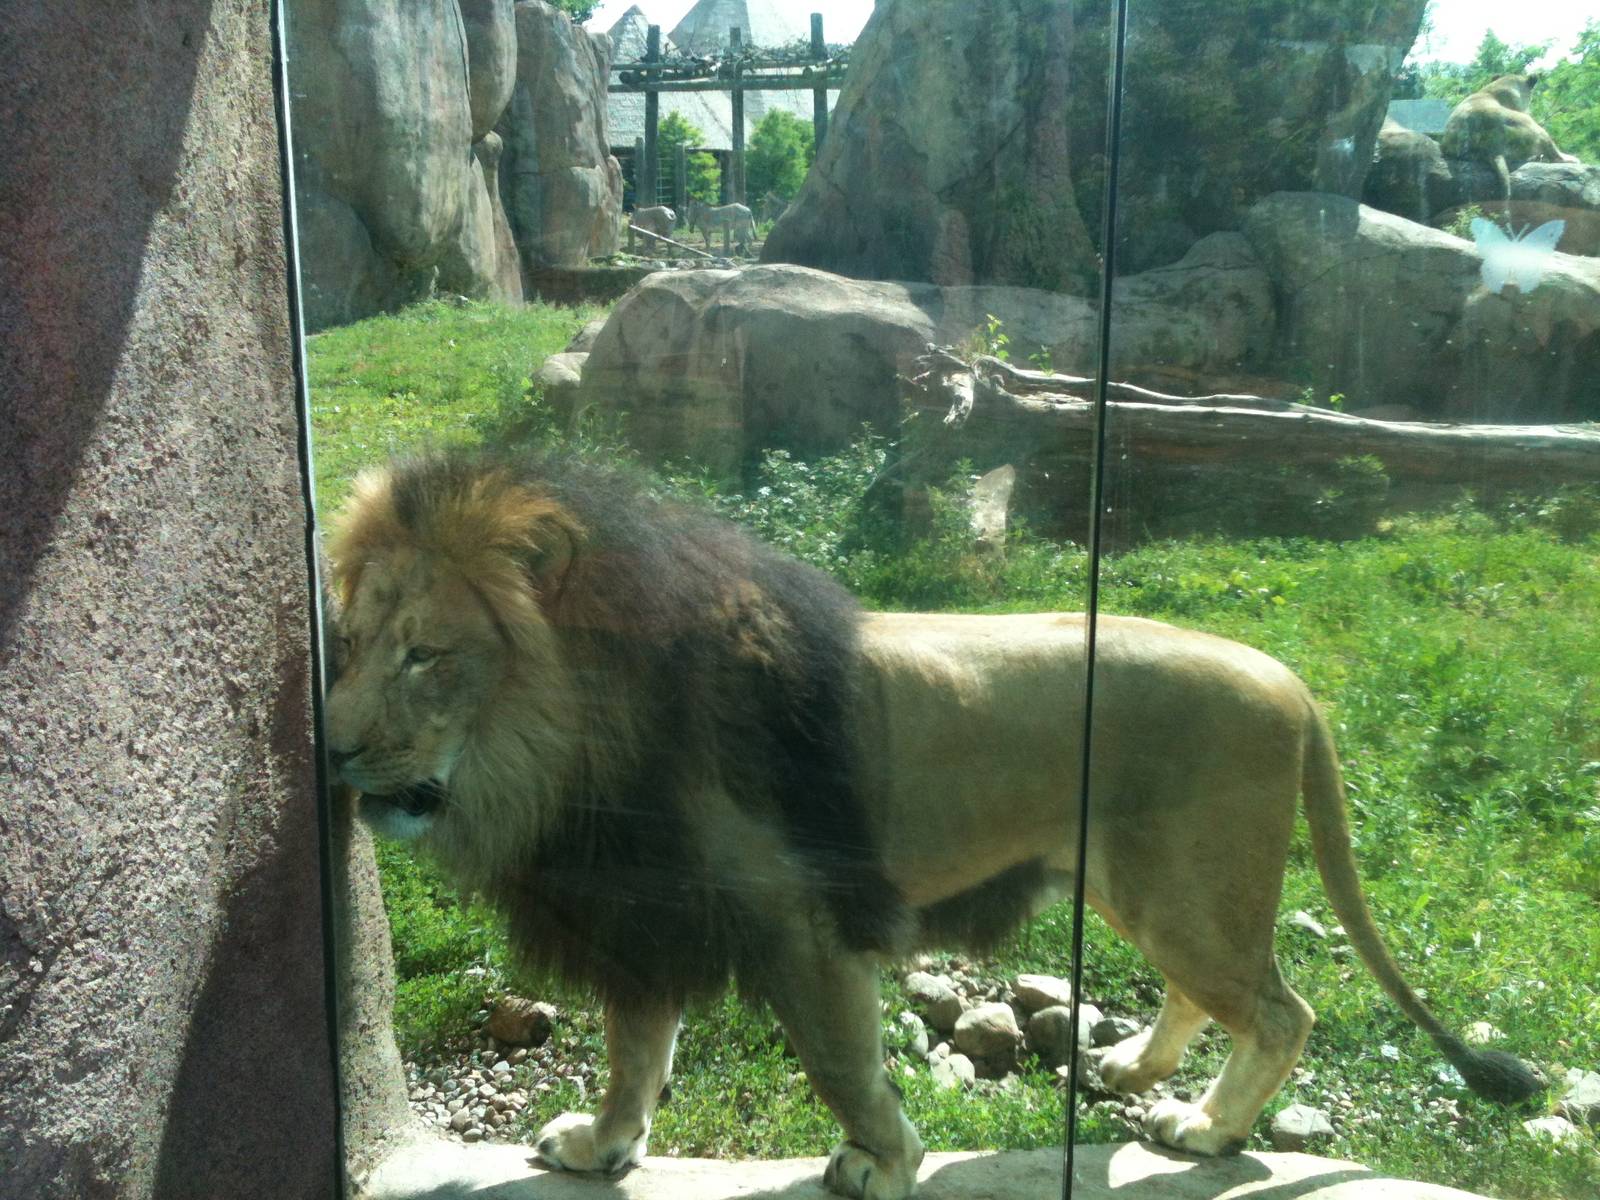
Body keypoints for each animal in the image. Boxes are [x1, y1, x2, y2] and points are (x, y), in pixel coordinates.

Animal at [324, 448, 1543, 1200]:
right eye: (353, 638)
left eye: (427, 655)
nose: (328, 747)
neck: (562, 754)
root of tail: (1290, 680)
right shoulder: (644, 912)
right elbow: (636, 1051)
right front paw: (604, 1145)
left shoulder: (796, 923)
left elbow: (840, 1063)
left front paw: (882, 1161)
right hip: (1150, 889)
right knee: (1210, 994)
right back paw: (1132, 1073)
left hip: (1188, 892)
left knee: (1284, 1013)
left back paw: (1206, 1127)